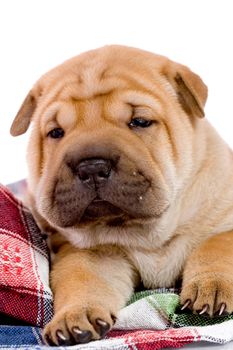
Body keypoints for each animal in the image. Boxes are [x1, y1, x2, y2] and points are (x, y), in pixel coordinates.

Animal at [10, 45, 233, 344]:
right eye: (56, 132)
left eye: (139, 122)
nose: (91, 166)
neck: (149, 234)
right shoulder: (95, 254)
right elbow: (82, 279)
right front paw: (74, 316)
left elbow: (217, 245)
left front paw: (212, 286)